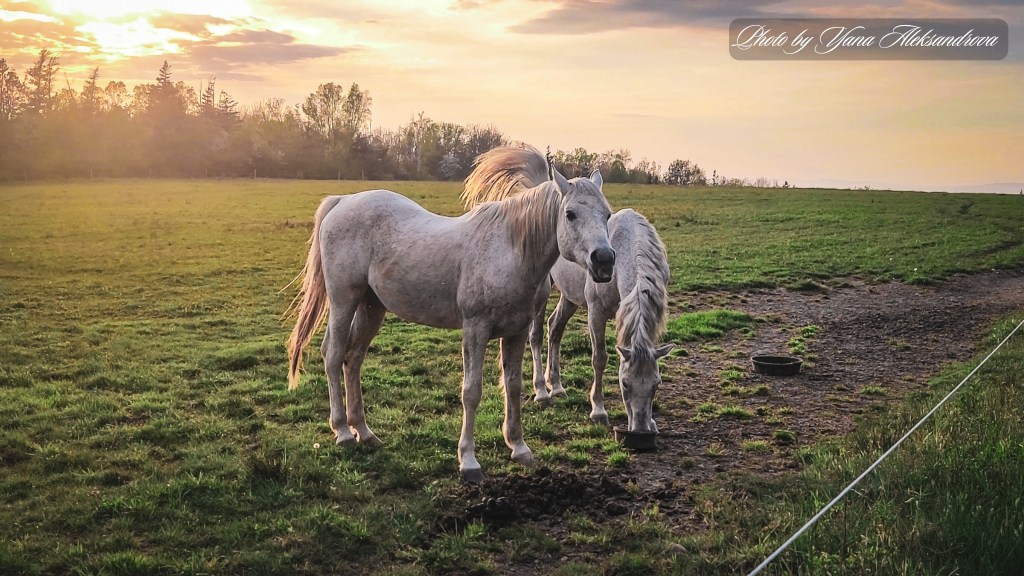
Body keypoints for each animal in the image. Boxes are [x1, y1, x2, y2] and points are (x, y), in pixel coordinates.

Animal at [286, 146, 614, 483]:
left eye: (607, 214)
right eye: (570, 214)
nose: (604, 260)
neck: (509, 252)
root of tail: (343, 201)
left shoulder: (517, 332)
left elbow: (512, 386)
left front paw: (519, 447)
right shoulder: (475, 329)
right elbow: (471, 392)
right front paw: (468, 461)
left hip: (371, 306)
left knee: (353, 359)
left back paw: (363, 431)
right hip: (343, 300)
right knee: (333, 354)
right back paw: (342, 431)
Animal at [460, 146, 672, 434]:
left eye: (656, 385)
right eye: (625, 384)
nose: (639, 429)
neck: (629, 246)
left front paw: (651, 421)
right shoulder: (596, 312)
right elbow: (599, 357)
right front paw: (598, 410)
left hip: (569, 299)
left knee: (555, 328)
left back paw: (557, 386)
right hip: (541, 296)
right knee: (537, 335)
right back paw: (542, 391)